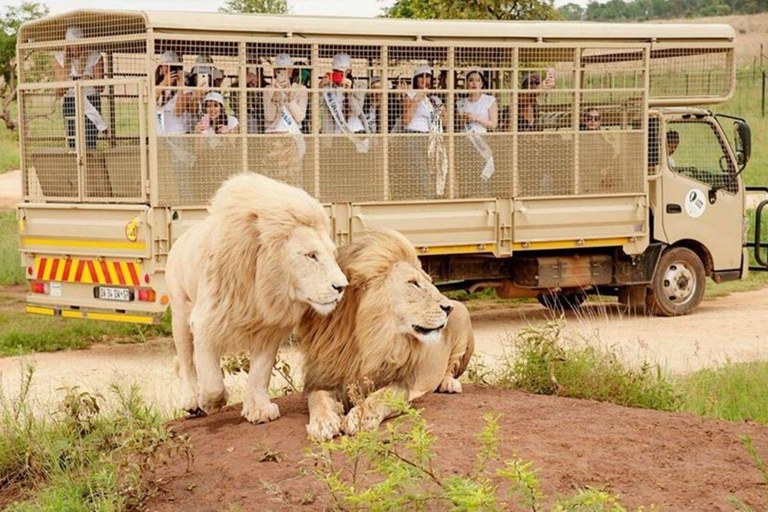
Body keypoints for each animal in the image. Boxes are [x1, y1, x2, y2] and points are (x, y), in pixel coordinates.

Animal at [170, 174, 350, 422]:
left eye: (333, 254)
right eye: (311, 255)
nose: (341, 287)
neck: (264, 287)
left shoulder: (270, 328)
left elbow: (260, 372)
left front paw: (260, 410)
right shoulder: (207, 320)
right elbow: (211, 378)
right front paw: (211, 402)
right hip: (180, 313)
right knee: (187, 361)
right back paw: (191, 400)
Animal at [298, 229, 474, 440]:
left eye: (430, 282)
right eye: (413, 283)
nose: (448, 308)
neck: (370, 338)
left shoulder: (402, 383)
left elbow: (380, 397)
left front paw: (361, 416)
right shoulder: (323, 376)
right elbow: (318, 399)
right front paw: (322, 422)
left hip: (463, 319)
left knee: (451, 368)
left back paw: (449, 384)